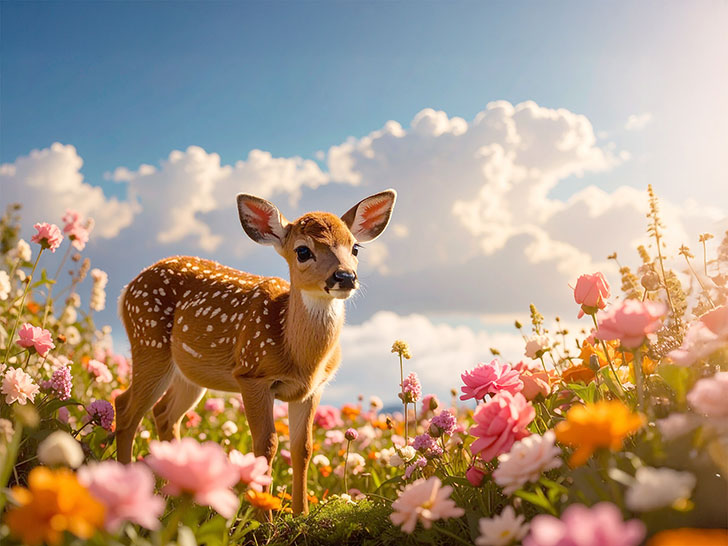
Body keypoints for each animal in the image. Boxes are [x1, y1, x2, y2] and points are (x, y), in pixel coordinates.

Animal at [114, 189, 396, 516]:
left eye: (355, 248)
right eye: (303, 251)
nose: (346, 276)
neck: (299, 357)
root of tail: (126, 289)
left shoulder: (313, 389)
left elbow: (303, 447)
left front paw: (300, 515)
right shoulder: (252, 375)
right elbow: (266, 445)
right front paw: (265, 518)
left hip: (190, 372)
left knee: (164, 415)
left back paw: (173, 493)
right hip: (148, 342)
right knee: (126, 409)